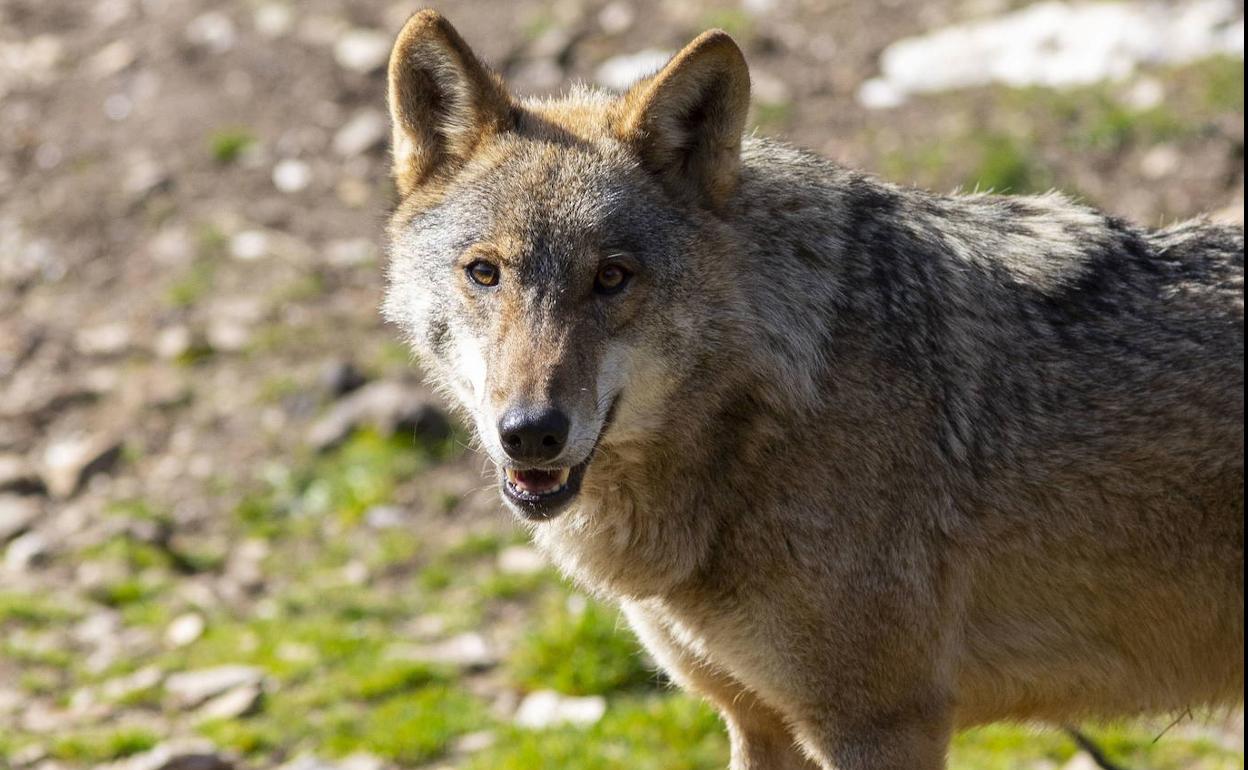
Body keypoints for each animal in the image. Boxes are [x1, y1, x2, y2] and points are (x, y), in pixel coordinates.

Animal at [381, 12, 1248, 768]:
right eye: (485, 273)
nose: (531, 431)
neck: (769, 414)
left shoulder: (881, 725)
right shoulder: (757, 722)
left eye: (613, 278)